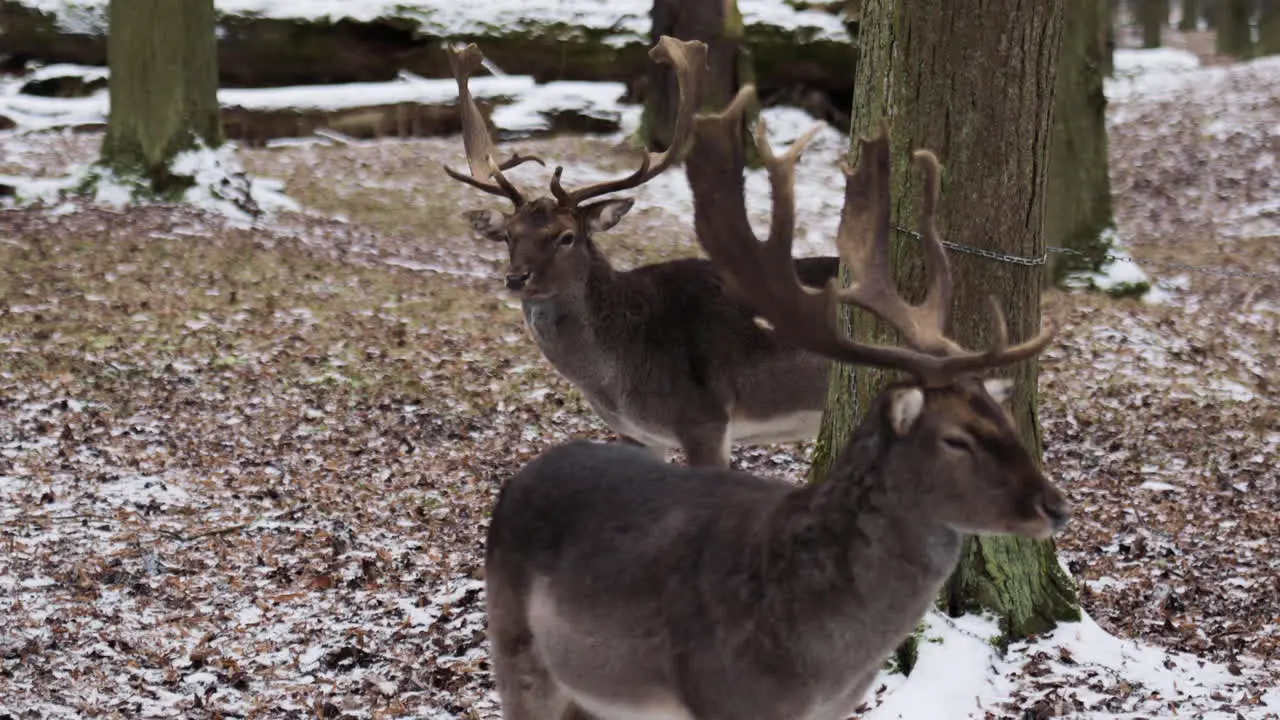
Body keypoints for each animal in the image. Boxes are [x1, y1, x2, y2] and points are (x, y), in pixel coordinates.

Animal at [481, 56, 1070, 717]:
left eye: (566, 235)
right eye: (508, 233)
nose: (516, 278)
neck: (619, 368)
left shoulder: (704, 416)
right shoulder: (640, 436)